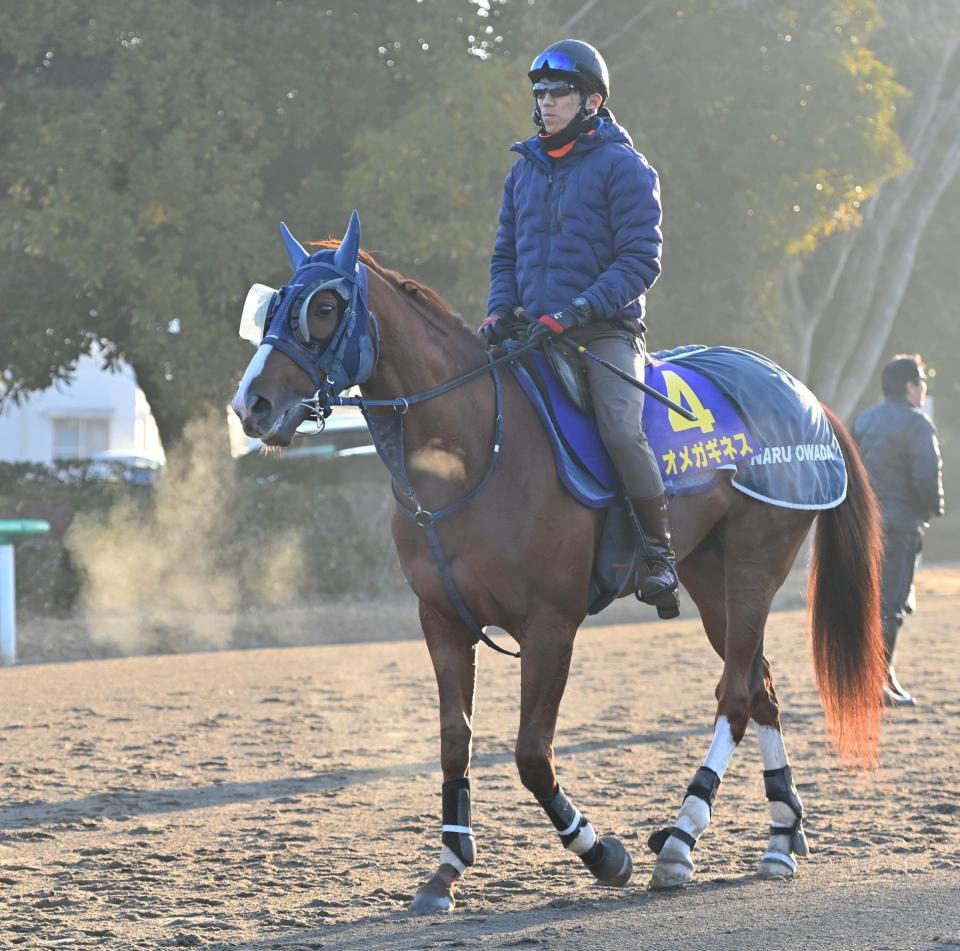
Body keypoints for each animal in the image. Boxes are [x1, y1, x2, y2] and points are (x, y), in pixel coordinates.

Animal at [231, 212, 884, 912]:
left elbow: (530, 754)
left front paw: (602, 853)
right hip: (713, 581)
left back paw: (681, 840)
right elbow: (454, 740)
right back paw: (782, 836)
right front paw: (448, 865)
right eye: (272, 306)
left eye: (324, 308)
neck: (476, 450)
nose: (251, 405)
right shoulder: (442, 621)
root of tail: (802, 396)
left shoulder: (550, 626)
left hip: (755, 564)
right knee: (760, 686)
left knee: (736, 694)